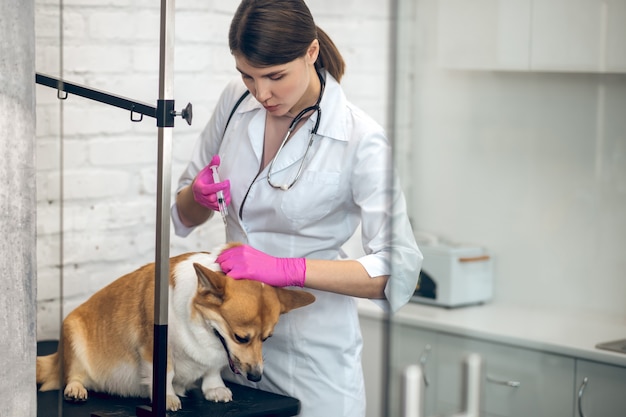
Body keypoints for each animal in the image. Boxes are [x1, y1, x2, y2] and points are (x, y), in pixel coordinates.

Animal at [36, 244, 314, 410]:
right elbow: (166, 373)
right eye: (241, 337)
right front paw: (167, 397)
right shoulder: (154, 347)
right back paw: (75, 389)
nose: (256, 377)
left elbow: (212, 370)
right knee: (72, 374)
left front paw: (214, 389)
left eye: (267, 339)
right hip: (72, 334)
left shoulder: (215, 357)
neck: (202, 326)